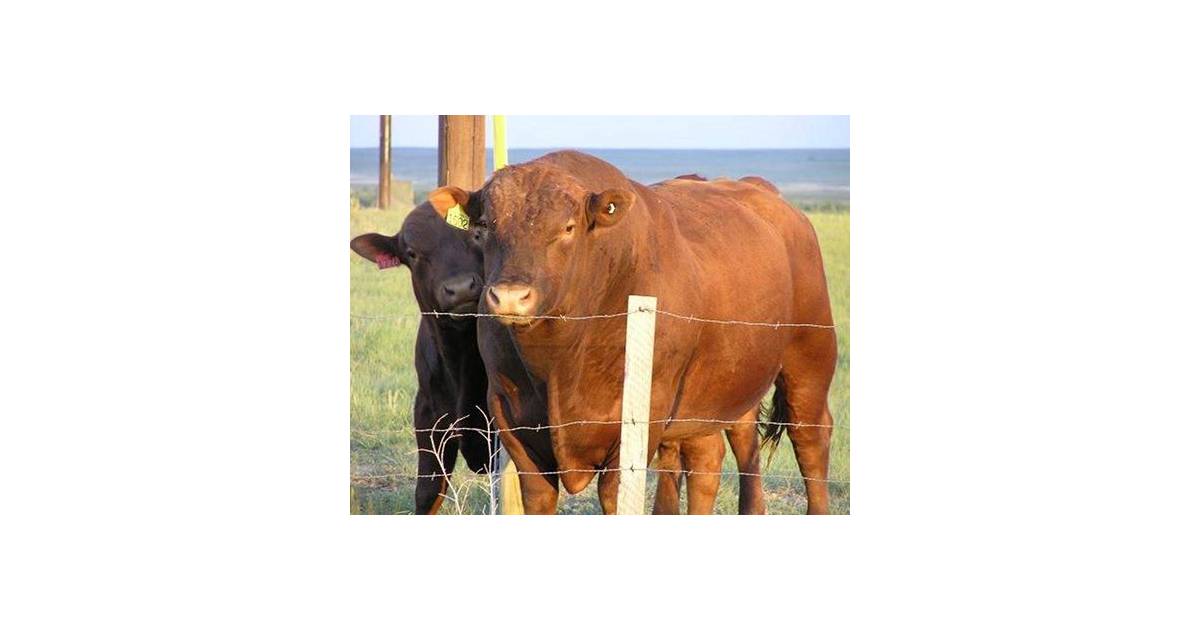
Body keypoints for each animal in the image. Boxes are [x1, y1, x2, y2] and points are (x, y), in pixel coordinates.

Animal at [428, 150, 837, 515]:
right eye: (483, 227)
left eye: (568, 228)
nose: (511, 296)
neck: (558, 362)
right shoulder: (511, 416)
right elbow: (539, 497)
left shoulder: (641, 418)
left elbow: (615, 495)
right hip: (719, 386)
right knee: (713, 454)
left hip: (809, 359)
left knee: (810, 437)